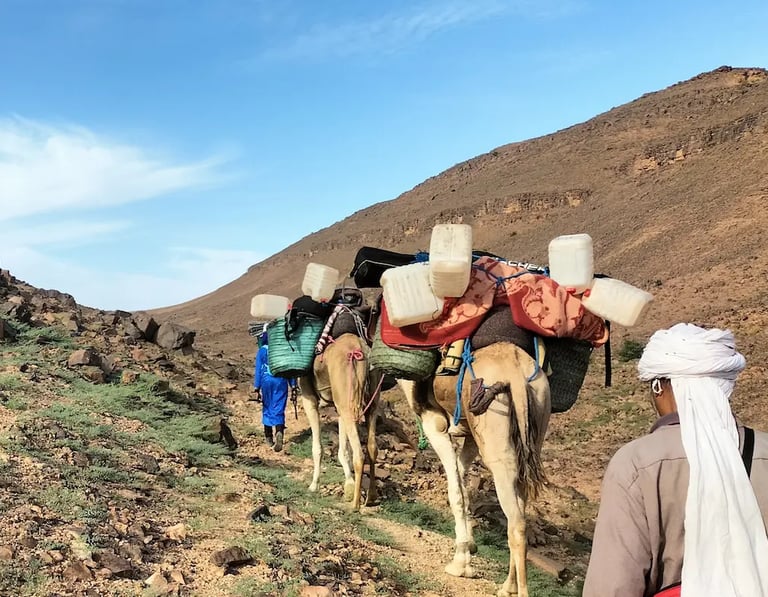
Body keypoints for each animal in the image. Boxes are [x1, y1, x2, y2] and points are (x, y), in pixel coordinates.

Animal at [299, 333, 381, 511]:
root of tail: (358, 349)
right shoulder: (340, 406)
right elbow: (343, 450)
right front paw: (348, 485)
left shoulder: (309, 397)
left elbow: (317, 448)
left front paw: (313, 485)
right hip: (367, 397)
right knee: (372, 446)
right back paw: (371, 496)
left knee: (359, 453)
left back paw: (355, 505)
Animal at [399, 341, 550, 597]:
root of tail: (517, 372)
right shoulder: (470, 436)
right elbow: (461, 481)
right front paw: (469, 545)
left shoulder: (435, 424)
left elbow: (455, 491)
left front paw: (461, 563)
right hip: (535, 422)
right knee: (519, 506)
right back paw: (506, 586)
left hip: (496, 435)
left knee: (517, 523)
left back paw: (516, 589)